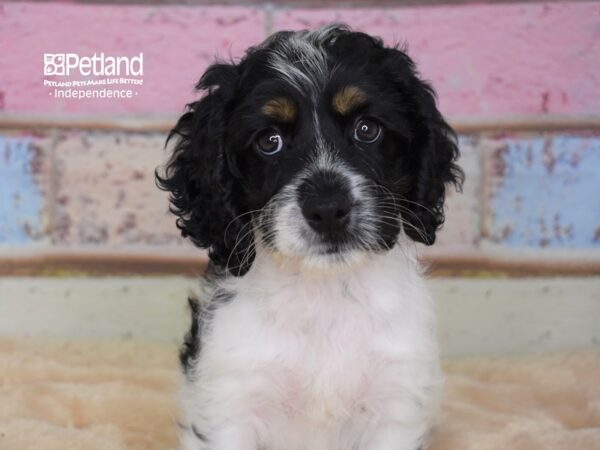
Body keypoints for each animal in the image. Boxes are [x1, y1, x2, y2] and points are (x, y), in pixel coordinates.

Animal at [157, 23, 462, 450]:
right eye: (269, 141)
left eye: (367, 129)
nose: (328, 209)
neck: (324, 295)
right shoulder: (231, 398)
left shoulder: (396, 399)